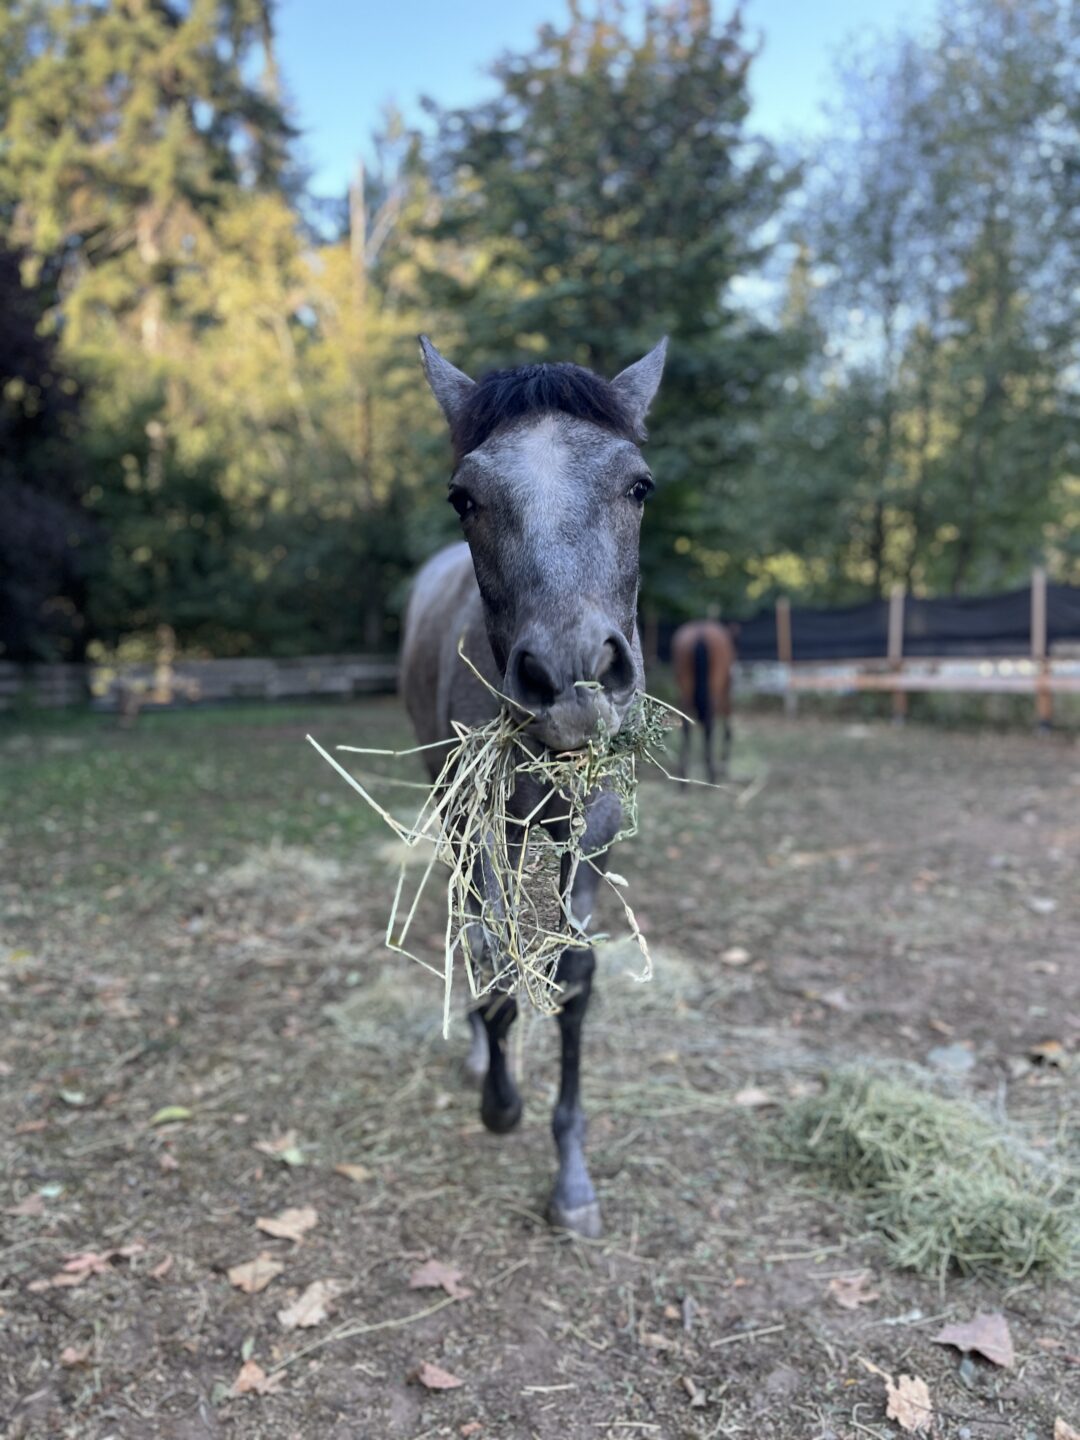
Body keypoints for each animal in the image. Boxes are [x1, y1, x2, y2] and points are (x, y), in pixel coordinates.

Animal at [400, 335, 667, 1238]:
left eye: (639, 485)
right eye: (464, 497)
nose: (572, 678)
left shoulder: (593, 831)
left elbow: (574, 975)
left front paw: (572, 1179)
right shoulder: (480, 823)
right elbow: (492, 950)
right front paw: (501, 1102)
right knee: (469, 927)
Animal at [671, 618, 737, 782]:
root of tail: (700, 634)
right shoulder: (725, 693)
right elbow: (727, 727)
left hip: (685, 692)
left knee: (686, 726)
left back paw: (683, 777)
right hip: (715, 692)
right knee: (709, 724)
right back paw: (711, 774)